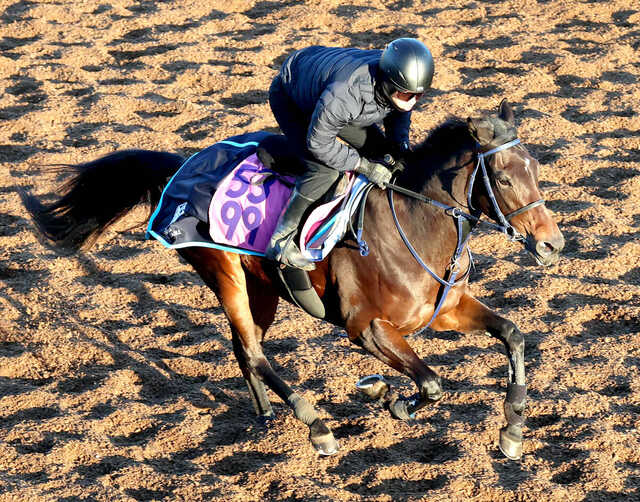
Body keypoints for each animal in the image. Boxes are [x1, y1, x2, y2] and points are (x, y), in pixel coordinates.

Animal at [20, 100, 564, 460]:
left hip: (261, 290)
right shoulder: (366, 328)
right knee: (254, 352)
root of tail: (181, 167)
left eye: (536, 168)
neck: (413, 223)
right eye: (505, 178)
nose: (552, 244)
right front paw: (386, 396)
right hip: (227, 277)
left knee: (245, 351)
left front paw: (513, 429)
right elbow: (429, 383)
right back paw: (315, 424)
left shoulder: (446, 310)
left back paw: (265, 418)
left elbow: (513, 334)